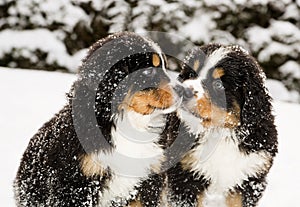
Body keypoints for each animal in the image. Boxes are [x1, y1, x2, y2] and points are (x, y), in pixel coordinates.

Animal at [165, 44, 278, 207]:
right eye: (191, 74)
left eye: (218, 84)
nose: (181, 90)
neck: (220, 132)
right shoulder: (184, 176)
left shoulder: (250, 178)